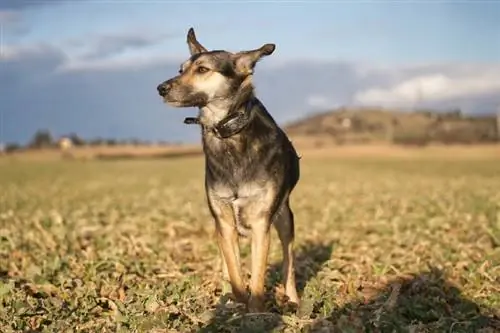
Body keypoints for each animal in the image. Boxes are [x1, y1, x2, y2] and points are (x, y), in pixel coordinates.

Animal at [156, 26, 300, 312]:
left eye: (202, 69)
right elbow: (234, 271)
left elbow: (258, 276)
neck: (228, 133)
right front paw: (235, 303)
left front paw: (255, 312)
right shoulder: (223, 221)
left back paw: (293, 300)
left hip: (284, 218)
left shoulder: (261, 223)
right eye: (180, 69)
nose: (160, 88)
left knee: (289, 264)